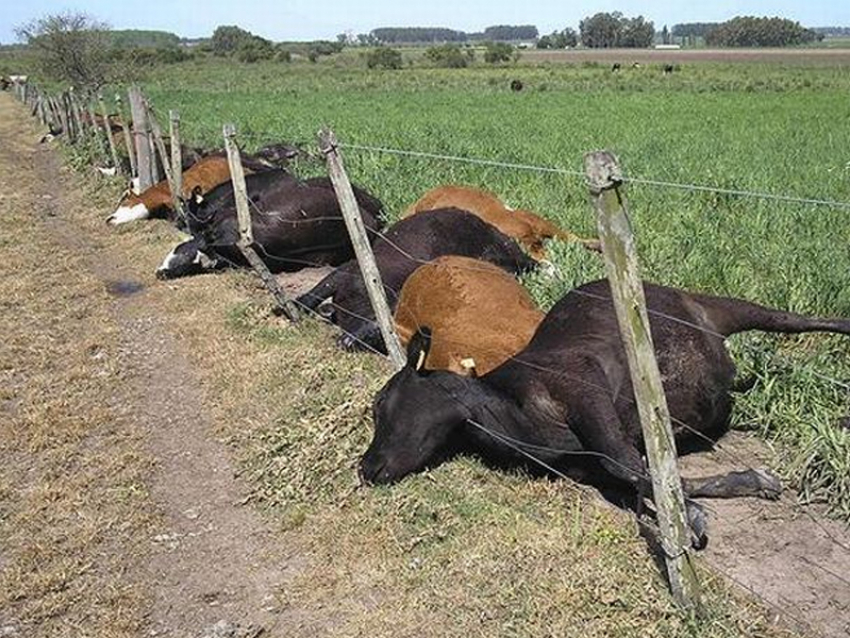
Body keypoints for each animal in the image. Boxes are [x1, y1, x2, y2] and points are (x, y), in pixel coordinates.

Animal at [358, 280, 848, 552]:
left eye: (381, 403)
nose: (367, 467)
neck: (512, 420)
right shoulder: (594, 464)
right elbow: (651, 477)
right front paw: (751, 482)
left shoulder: (585, 386)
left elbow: (630, 466)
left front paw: (692, 518)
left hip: (719, 304)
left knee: (787, 318)